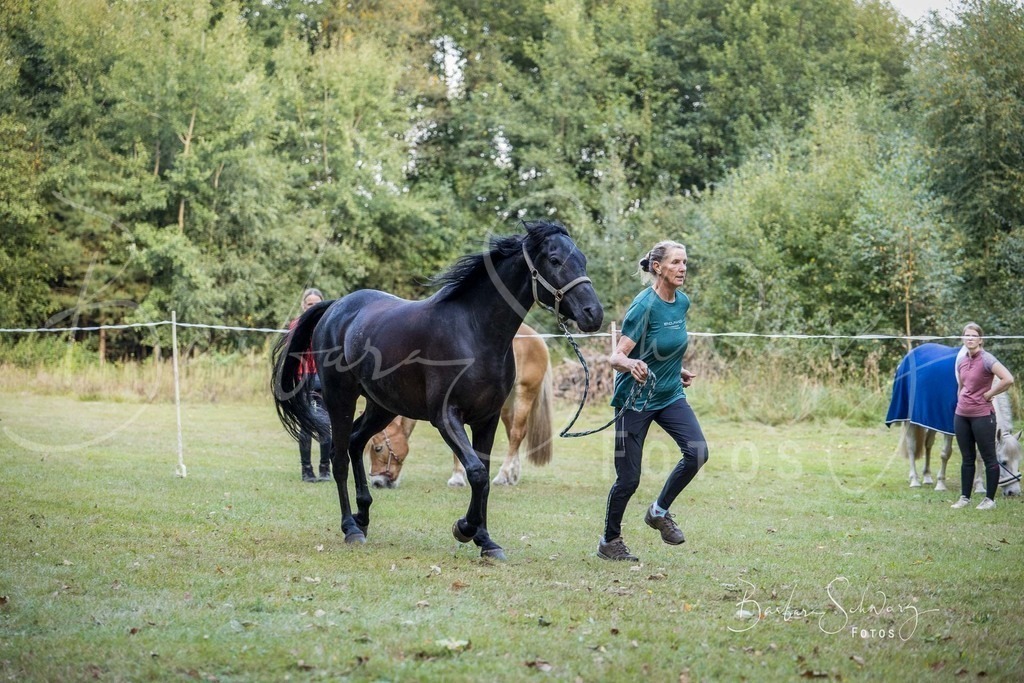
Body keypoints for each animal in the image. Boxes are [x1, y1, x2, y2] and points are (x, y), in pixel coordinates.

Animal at [365, 323, 553, 489]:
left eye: (378, 448)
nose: (377, 482)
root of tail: (537, 338)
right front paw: (457, 476)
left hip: (525, 393)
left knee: (517, 433)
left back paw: (503, 475)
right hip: (506, 404)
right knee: (513, 432)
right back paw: (513, 475)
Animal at [885, 343, 1022, 496]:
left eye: (1018, 461)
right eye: (1004, 462)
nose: (1014, 492)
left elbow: (980, 456)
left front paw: (979, 487)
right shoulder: (950, 427)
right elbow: (945, 453)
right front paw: (941, 484)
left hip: (931, 420)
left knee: (928, 444)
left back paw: (927, 477)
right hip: (910, 420)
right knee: (911, 446)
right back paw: (914, 480)